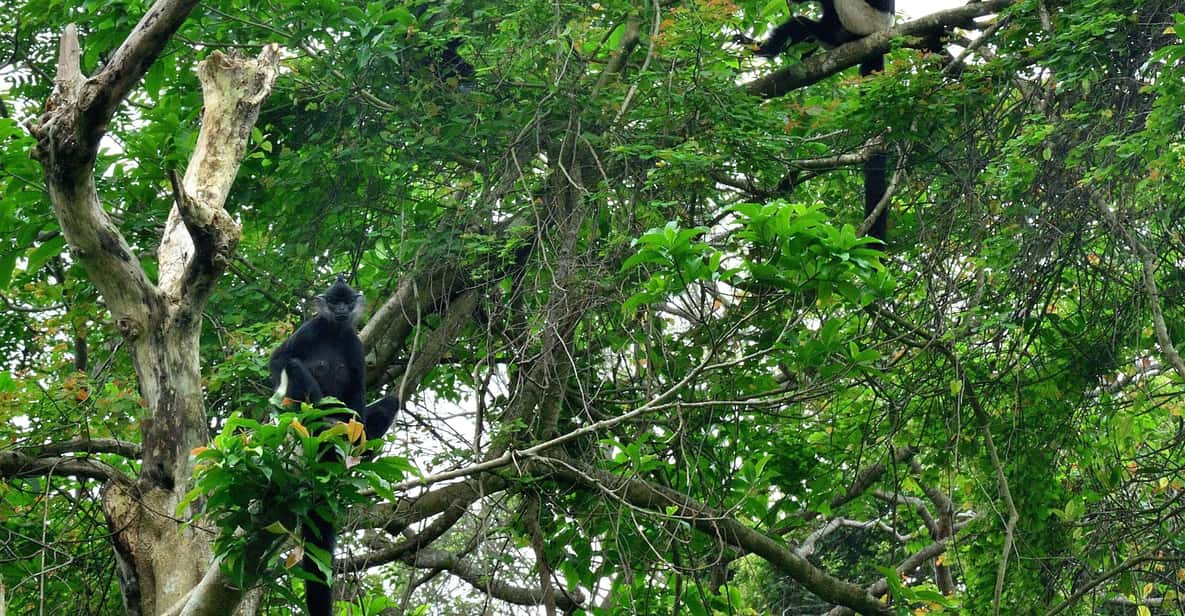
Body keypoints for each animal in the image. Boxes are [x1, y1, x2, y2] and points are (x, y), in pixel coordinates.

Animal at [268, 277, 398, 616]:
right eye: (335, 302)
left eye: (347, 302)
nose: (341, 310)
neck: (335, 332)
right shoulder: (312, 328)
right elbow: (280, 359)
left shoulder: (353, 342)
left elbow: (358, 391)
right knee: (294, 365)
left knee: (388, 403)